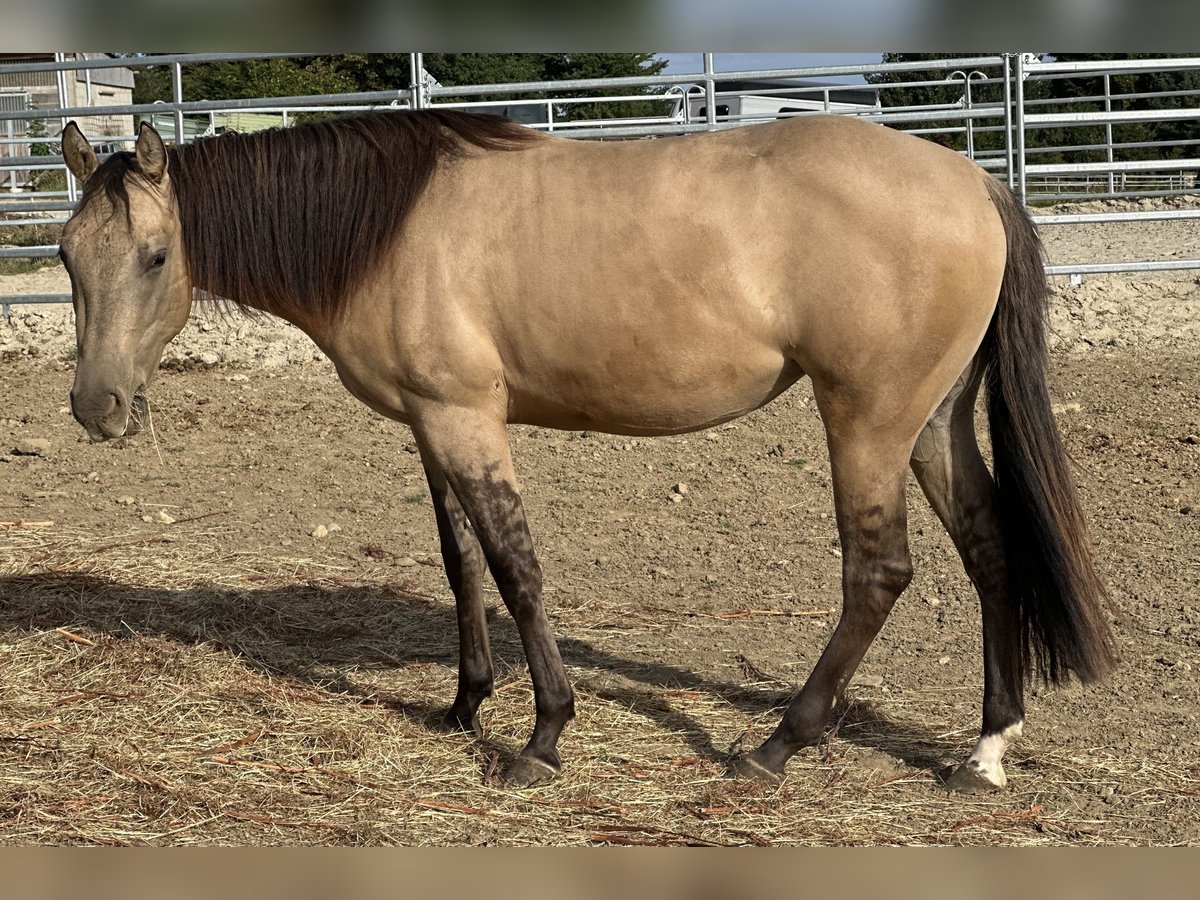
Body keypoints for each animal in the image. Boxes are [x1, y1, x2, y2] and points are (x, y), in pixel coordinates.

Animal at [57, 110, 1117, 791]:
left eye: (156, 255)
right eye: (66, 258)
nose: (96, 407)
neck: (393, 229)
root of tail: (973, 179)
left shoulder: (465, 420)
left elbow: (515, 567)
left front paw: (542, 736)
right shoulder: (430, 423)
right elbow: (460, 563)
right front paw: (464, 704)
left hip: (868, 420)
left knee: (878, 573)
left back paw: (777, 745)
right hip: (932, 420)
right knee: (988, 549)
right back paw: (984, 751)